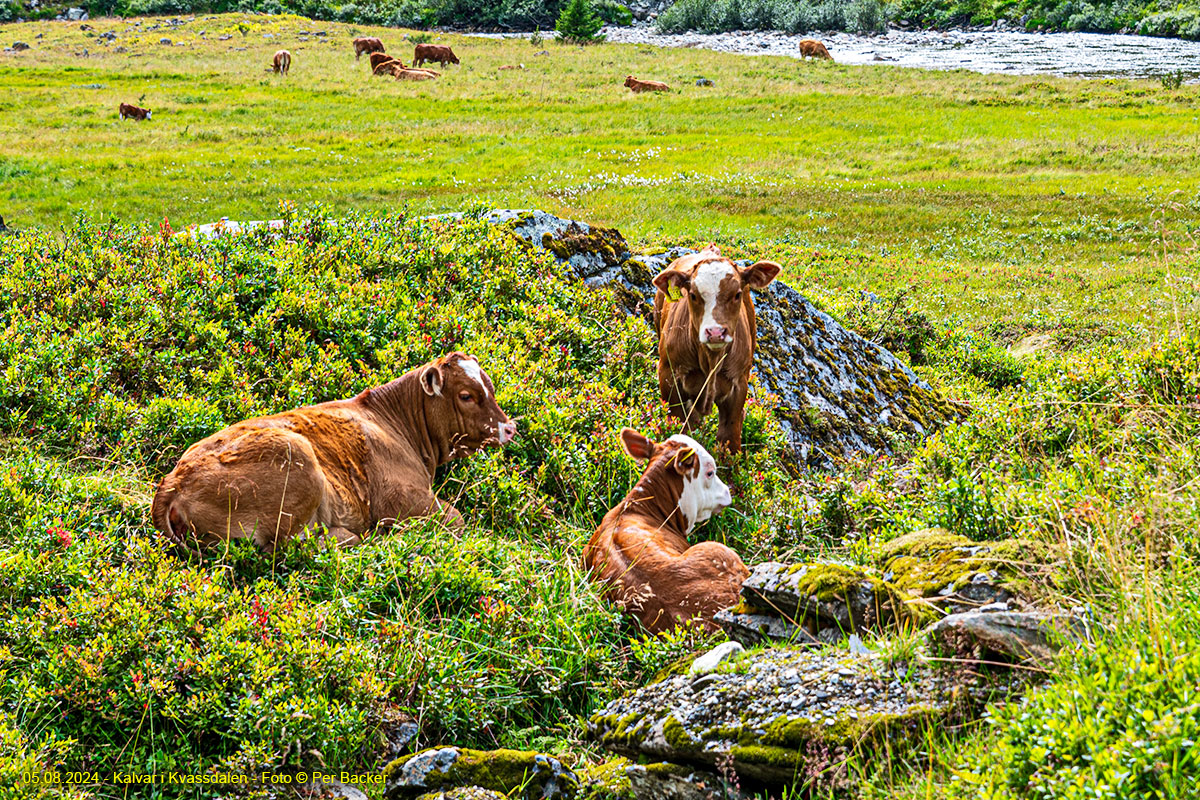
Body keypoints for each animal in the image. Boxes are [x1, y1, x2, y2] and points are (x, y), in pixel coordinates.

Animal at [150, 352, 516, 554]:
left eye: (491, 386)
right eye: (467, 395)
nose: (509, 427)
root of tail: (173, 482)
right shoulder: (400, 497)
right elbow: (457, 519)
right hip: (298, 458)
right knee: (285, 545)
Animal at [652, 244, 782, 455]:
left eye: (737, 294)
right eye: (693, 295)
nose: (715, 332)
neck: (710, 360)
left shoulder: (739, 384)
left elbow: (729, 438)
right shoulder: (668, 375)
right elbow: (679, 429)